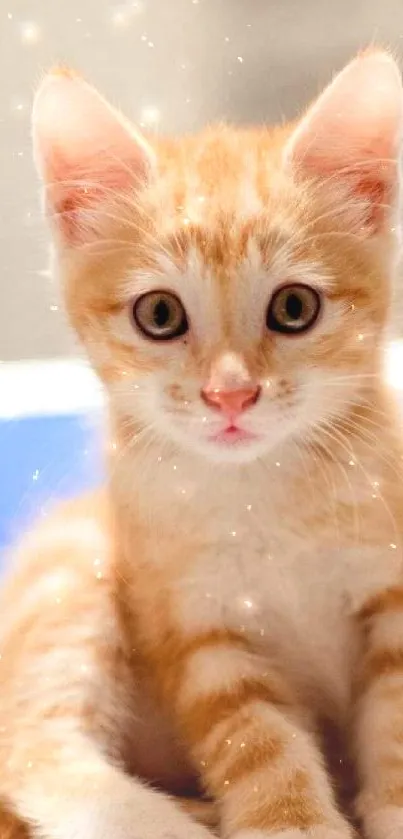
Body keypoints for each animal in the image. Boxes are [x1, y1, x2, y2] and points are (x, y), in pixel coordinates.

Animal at [0, 49, 403, 839]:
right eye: (159, 315)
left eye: (294, 307)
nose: (230, 395)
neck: (265, 492)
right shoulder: (197, 630)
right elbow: (257, 743)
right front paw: (293, 823)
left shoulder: (393, 596)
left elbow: (395, 726)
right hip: (73, 571)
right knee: (28, 747)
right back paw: (171, 821)